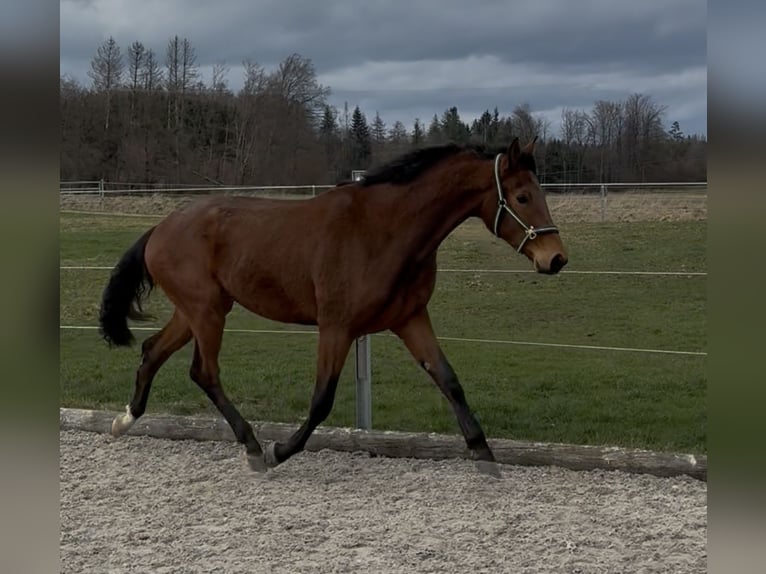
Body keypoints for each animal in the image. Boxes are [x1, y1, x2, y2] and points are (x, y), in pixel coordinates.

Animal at [99, 137, 567, 476]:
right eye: (522, 197)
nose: (556, 258)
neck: (384, 231)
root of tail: (161, 227)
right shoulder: (337, 327)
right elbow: (322, 399)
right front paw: (280, 451)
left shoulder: (411, 319)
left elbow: (449, 380)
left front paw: (484, 454)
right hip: (207, 311)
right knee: (204, 372)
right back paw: (252, 447)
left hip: (197, 310)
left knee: (153, 352)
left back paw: (125, 420)